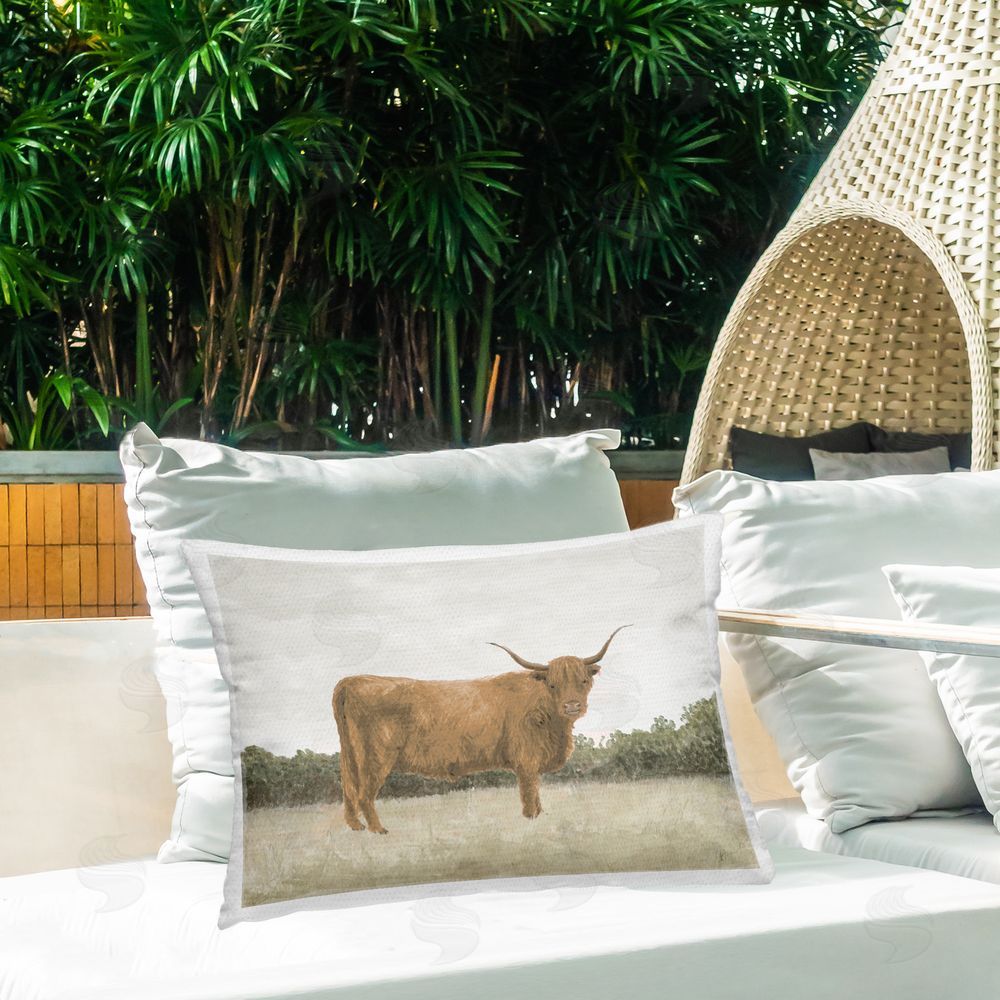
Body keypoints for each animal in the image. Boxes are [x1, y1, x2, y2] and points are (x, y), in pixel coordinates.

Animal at [331, 626, 630, 834]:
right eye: (553, 684)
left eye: (583, 681)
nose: (572, 706)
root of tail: (352, 680)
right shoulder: (527, 763)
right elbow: (530, 795)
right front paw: (531, 821)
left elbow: (536, 796)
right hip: (376, 757)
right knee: (364, 794)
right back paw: (379, 830)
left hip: (351, 756)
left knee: (349, 789)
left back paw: (356, 828)